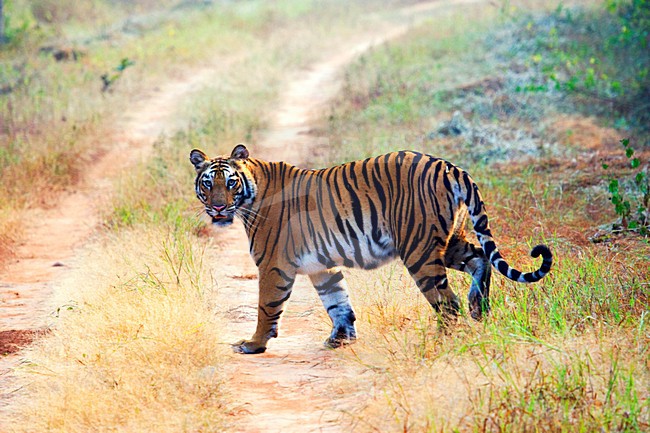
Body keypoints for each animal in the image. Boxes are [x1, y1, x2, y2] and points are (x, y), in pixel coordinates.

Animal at [190, 145, 553, 354]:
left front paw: (254, 344)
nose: (218, 208)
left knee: (447, 302)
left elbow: (266, 308)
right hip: (450, 240)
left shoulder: (274, 265)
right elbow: (337, 301)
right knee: (479, 260)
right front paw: (340, 339)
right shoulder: (321, 266)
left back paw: (443, 339)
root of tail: (447, 165)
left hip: (419, 249)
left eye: (230, 182)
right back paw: (479, 307)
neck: (250, 197)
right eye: (208, 183)